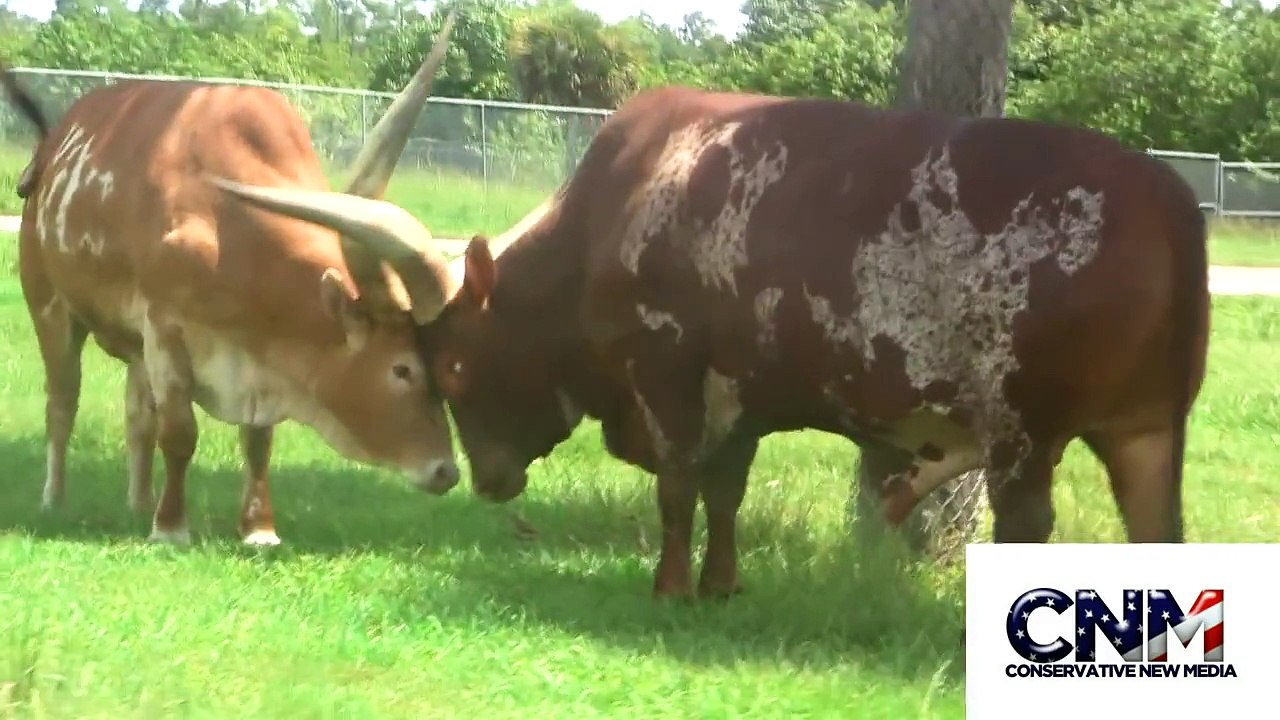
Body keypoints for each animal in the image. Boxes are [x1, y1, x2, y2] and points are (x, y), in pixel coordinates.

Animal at [1, 12, 464, 547]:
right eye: (402, 369)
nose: (446, 471)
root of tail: (52, 147)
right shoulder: (165, 331)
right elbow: (180, 434)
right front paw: (171, 527)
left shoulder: (251, 362)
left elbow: (256, 440)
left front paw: (259, 528)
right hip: (51, 308)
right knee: (62, 403)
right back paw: (56, 498)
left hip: (133, 348)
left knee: (137, 417)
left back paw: (139, 502)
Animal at [210, 86, 1211, 599]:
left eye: (450, 367)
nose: (488, 482)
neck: (605, 214)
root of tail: (1165, 194)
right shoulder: (742, 394)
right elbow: (725, 490)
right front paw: (722, 587)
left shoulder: (666, 372)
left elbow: (680, 488)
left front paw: (668, 588)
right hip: (1148, 431)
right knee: (1157, 533)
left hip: (1021, 436)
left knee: (1029, 529)